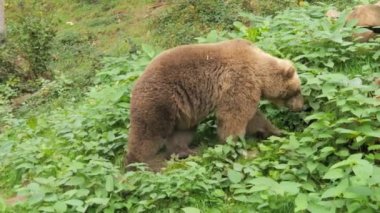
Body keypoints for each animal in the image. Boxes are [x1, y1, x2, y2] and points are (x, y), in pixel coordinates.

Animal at [126, 38, 304, 171]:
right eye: (297, 90)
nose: (302, 106)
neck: (259, 71)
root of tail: (136, 83)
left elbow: (255, 117)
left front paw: (278, 132)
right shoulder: (239, 80)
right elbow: (234, 116)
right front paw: (236, 147)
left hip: (184, 111)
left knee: (182, 132)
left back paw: (187, 152)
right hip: (161, 100)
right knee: (148, 132)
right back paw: (137, 164)